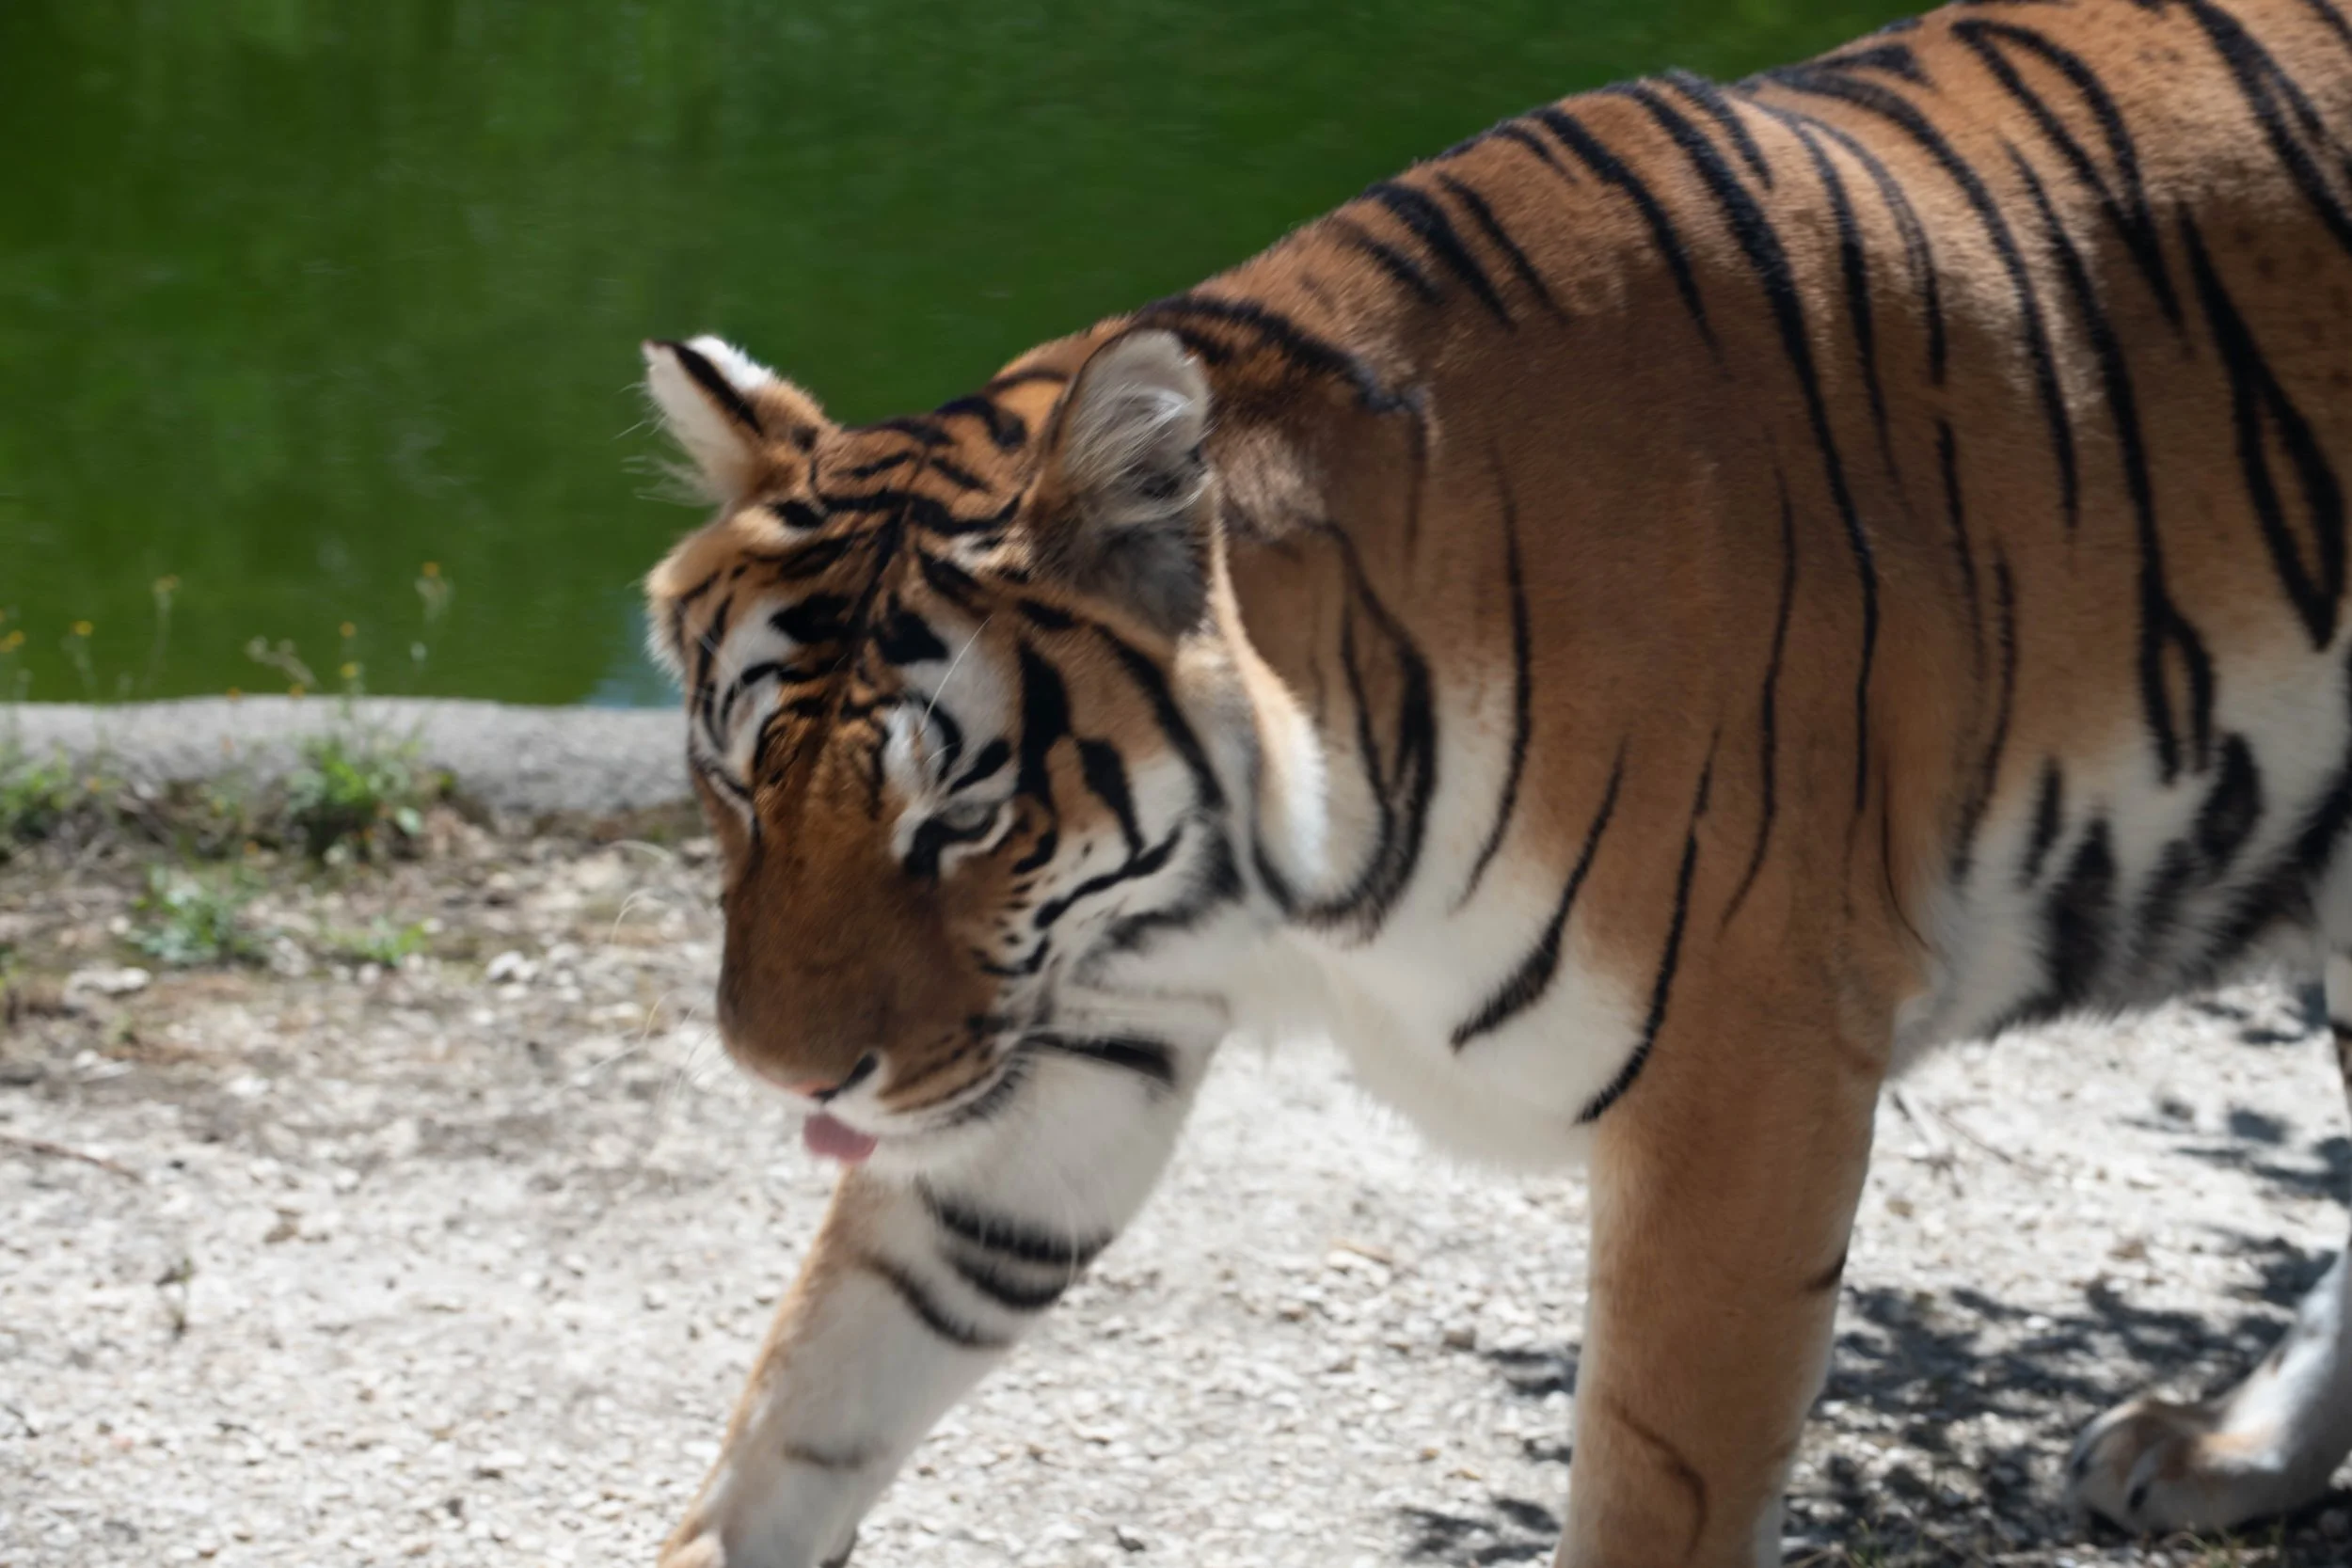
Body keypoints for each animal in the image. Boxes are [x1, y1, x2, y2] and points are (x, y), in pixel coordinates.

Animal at [636, 0, 2352, 1562]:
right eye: (735, 782)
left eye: (963, 819)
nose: (785, 1079)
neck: (1277, 889)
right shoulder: (1080, 1032)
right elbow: (822, 1376)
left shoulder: (1751, 1078)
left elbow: (1653, 1484)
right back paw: (2220, 1454)